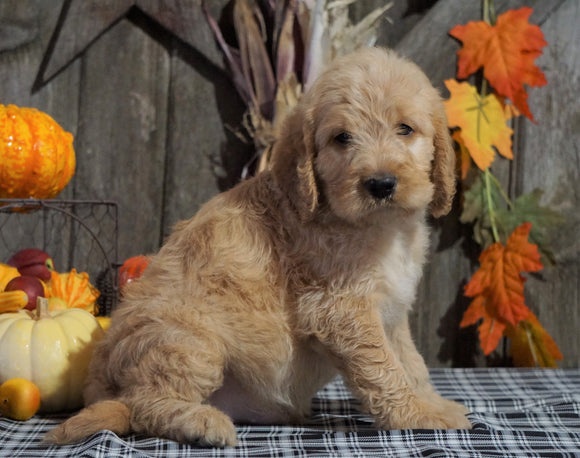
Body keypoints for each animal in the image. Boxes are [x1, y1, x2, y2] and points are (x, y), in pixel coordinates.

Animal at [45, 46, 472, 448]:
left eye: (405, 129)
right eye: (341, 138)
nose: (381, 184)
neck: (382, 226)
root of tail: (97, 383)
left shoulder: (390, 311)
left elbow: (411, 362)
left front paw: (432, 404)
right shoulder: (340, 307)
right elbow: (384, 366)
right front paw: (416, 415)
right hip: (189, 336)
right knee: (142, 405)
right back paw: (204, 423)